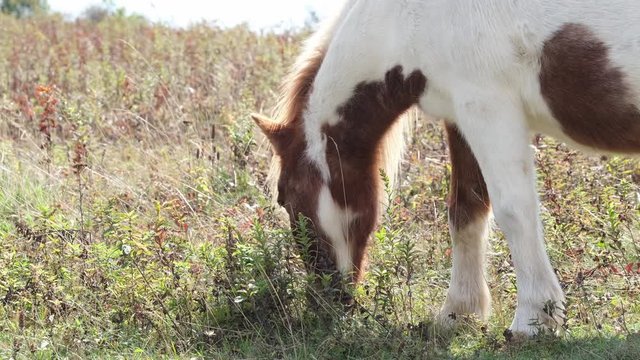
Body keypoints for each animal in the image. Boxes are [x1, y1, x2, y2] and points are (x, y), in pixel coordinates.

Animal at [250, 0, 640, 338]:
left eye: (286, 199)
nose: (325, 303)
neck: (407, 18)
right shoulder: (460, 119)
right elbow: (465, 210)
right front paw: (459, 312)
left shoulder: (487, 108)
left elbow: (514, 211)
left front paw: (533, 320)